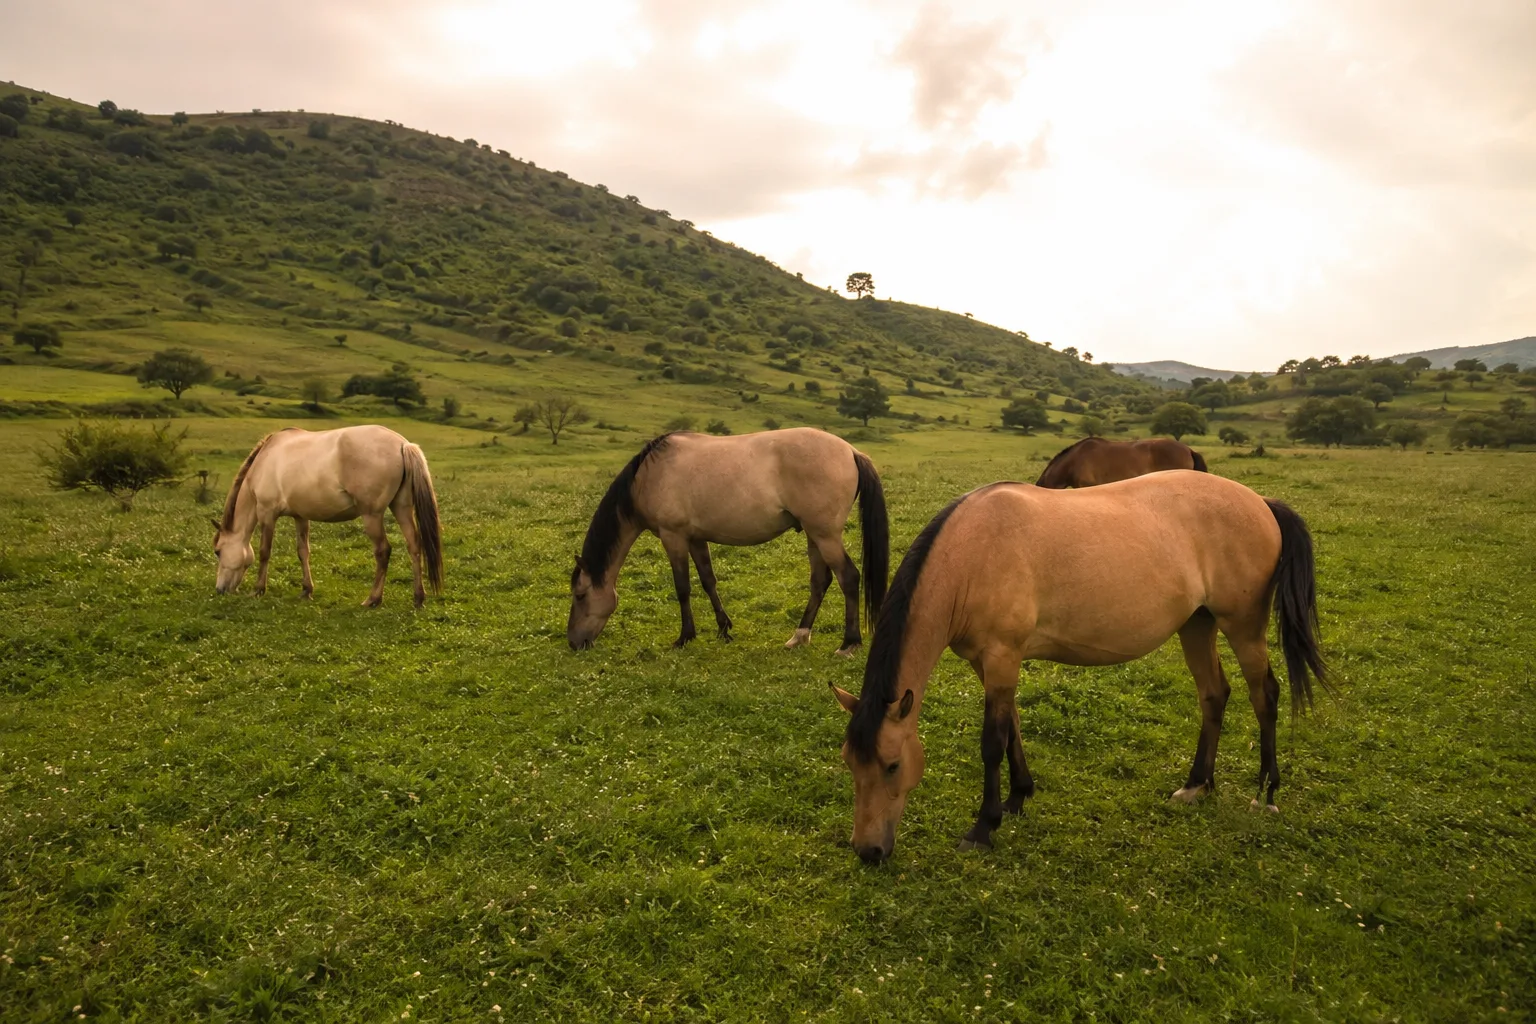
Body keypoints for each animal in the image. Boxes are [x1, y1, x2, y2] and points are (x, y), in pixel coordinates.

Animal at [211, 425, 443, 608]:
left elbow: (264, 552)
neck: (265, 460)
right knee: (414, 545)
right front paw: (307, 590)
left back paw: (373, 599)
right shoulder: (300, 516)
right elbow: (303, 552)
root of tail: (402, 444)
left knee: (383, 551)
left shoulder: (267, 514)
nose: (219, 590)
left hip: (372, 515)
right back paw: (418, 598)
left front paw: (259, 589)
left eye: (218, 551)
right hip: (401, 507)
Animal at [568, 428, 889, 654]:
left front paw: (685, 637)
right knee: (820, 582)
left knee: (849, 577)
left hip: (825, 535)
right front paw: (724, 629)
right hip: (814, 535)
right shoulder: (696, 539)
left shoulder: (673, 537)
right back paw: (798, 637)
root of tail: (851, 451)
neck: (648, 476)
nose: (574, 642)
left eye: (580, 595)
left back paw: (848, 643)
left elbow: (682, 588)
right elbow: (708, 581)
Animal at [830, 470, 1325, 864]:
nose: (868, 851)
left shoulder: (1002, 657)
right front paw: (1018, 796)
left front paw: (984, 827)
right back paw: (1197, 785)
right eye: (849, 763)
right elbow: (1013, 728)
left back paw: (1267, 793)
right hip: (1197, 625)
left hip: (1243, 628)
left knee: (1265, 696)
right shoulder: (987, 665)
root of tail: (1261, 502)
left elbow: (992, 741)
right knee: (1214, 695)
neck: (971, 555)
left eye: (892, 765)